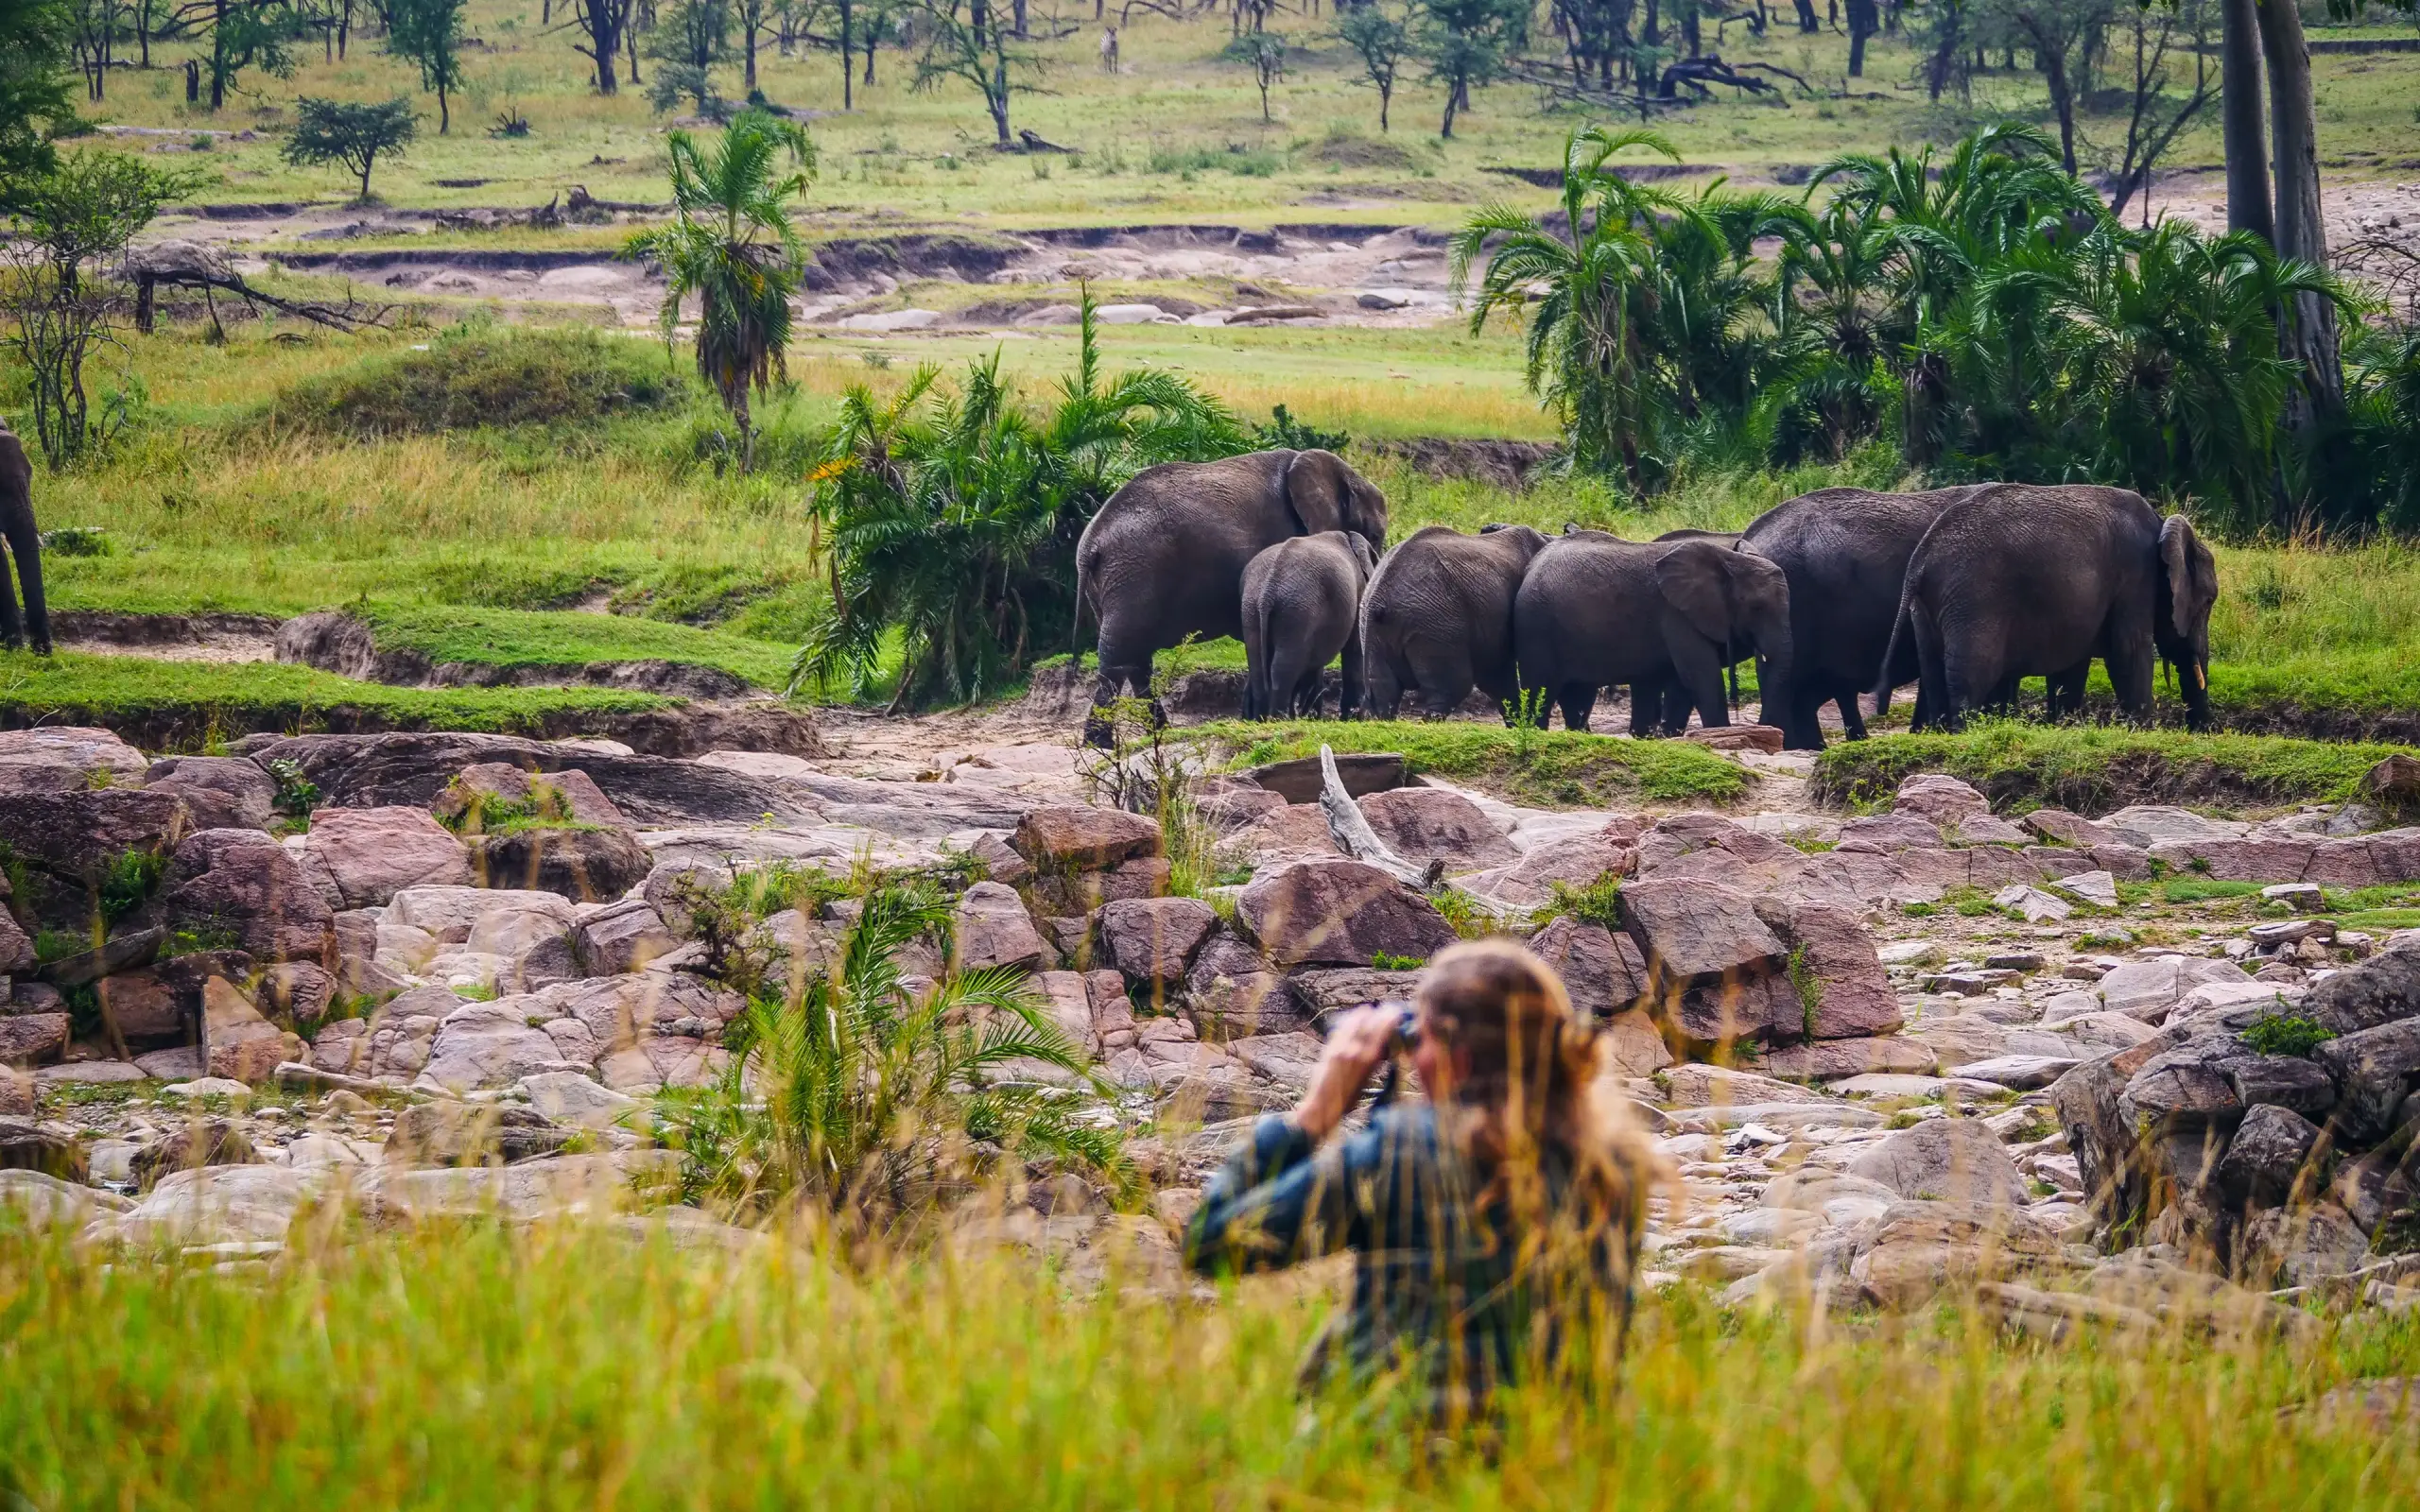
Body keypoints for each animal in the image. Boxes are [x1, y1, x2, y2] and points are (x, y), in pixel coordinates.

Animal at [1239, 530, 1377, 718]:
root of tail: (1268, 590)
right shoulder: (1359, 590)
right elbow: (1355, 647)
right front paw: (1352, 717)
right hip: (1297, 611)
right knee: (1283, 666)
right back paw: (1280, 718)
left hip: (1251, 608)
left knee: (1258, 665)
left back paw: (1263, 718)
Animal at [1360, 524, 1548, 720]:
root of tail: (1379, 596)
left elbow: (1497, 677)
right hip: (1436, 623)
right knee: (1452, 688)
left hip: (1372, 629)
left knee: (1382, 691)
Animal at [1514, 532, 1794, 735]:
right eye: (1756, 608)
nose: (1765, 726)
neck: (1729, 560)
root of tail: (1531, 567)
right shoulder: (1675, 613)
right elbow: (1700, 674)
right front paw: (1719, 732)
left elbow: (1682, 681)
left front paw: (1671, 736)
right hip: (1537, 626)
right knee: (1540, 691)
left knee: (1579, 697)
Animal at [1881, 484, 2219, 732]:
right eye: (2208, 601)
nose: (2199, 731)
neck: (2164, 525)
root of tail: (1920, 559)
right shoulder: (2135, 578)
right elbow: (2129, 651)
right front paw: (2140, 731)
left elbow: (2072, 666)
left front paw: (2065, 726)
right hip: (1973, 601)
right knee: (1971, 676)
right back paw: (1966, 733)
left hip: (1927, 607)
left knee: (1933, 672)